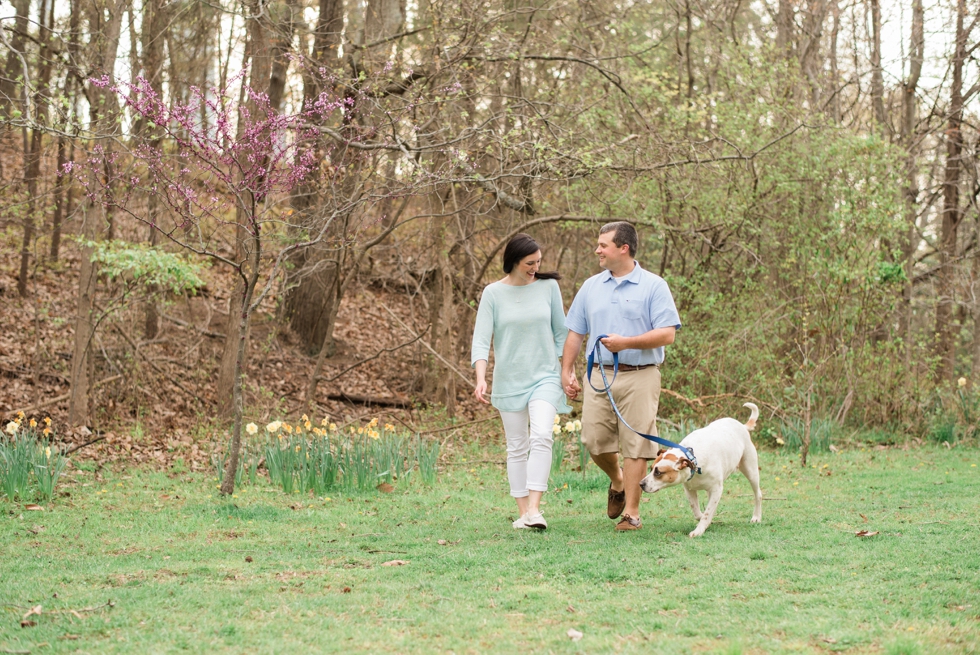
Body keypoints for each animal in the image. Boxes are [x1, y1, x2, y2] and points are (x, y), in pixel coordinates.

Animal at [640, 404, 760, 540]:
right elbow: (698, 513)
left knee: (758, 494)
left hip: (751, 471)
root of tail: (742, 426)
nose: (641, 484)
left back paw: (756, 517)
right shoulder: (689, 489)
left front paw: (699, 530)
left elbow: (707, 513)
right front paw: (705, 522)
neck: (694, 461)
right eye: (650, 469)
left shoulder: (717, 489)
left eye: (658, 472)